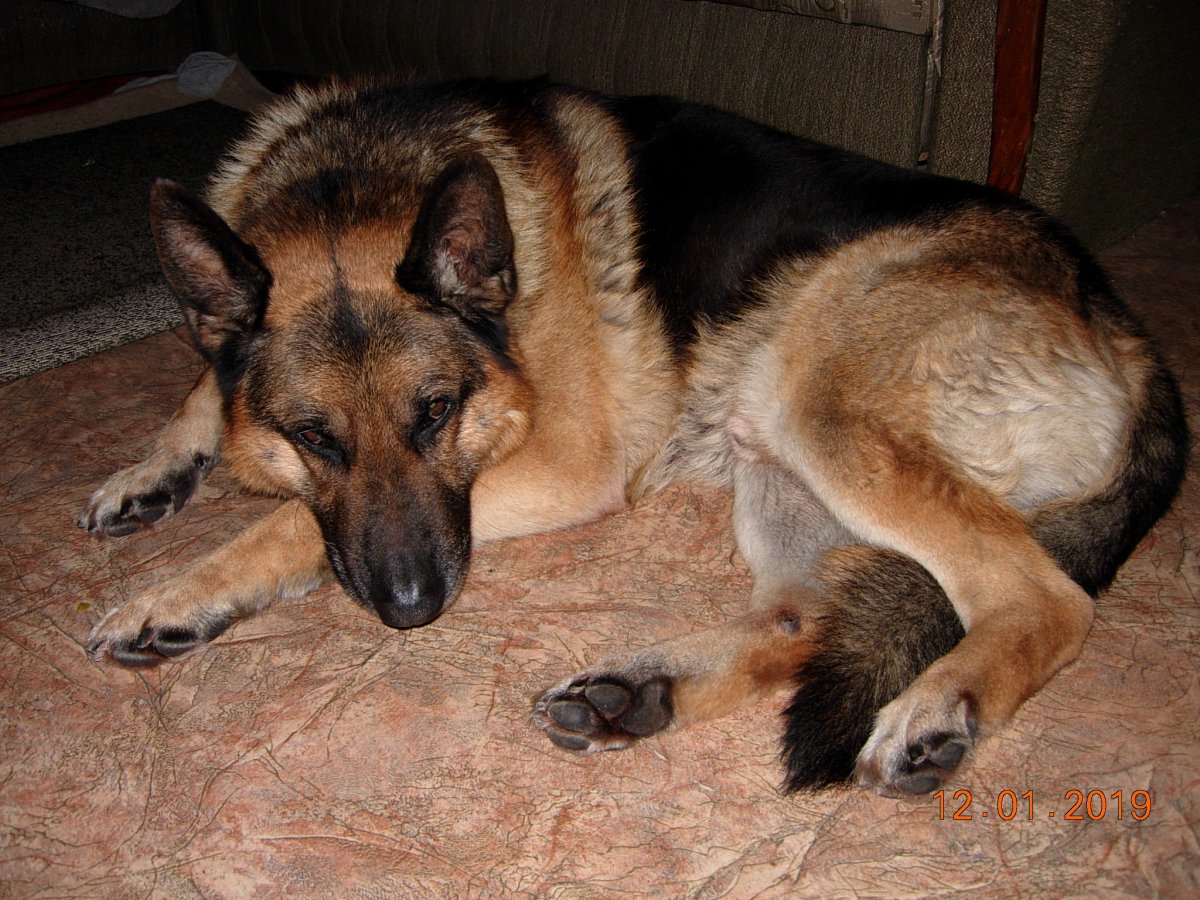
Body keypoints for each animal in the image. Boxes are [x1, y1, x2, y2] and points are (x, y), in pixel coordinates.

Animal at [79, 78, 1187, 796]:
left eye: (435, 413)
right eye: (314, 435)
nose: (412, 610)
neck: (348, 179)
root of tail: (1120, 321)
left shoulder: (562, 465)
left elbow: (290, 527)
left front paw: (177, 589)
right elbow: (206, 390)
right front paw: (153, 468)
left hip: (819, 403)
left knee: (1045, 599)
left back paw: (942, 708)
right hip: (770, 453)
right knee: (801, 618)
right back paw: (644, 692)